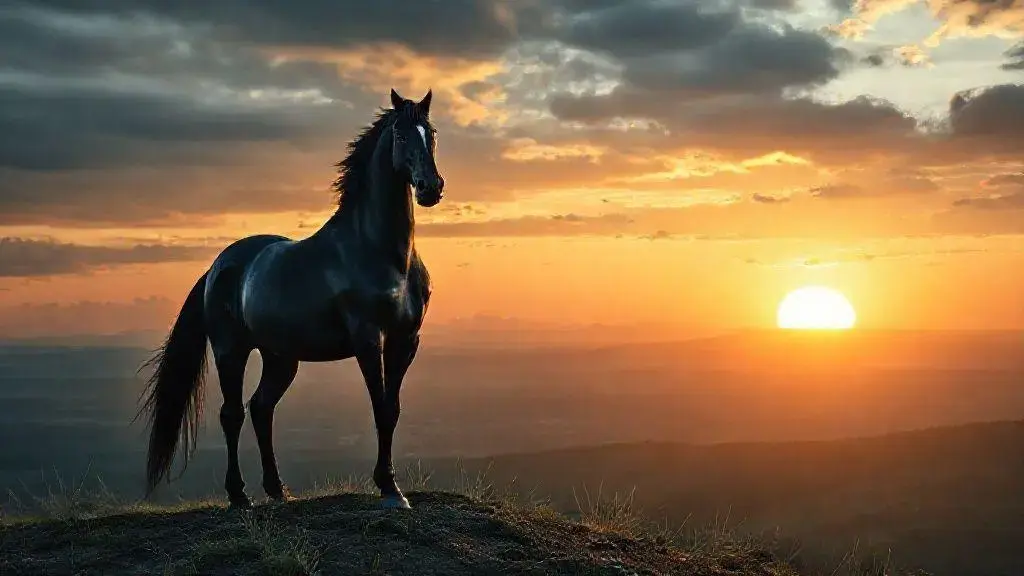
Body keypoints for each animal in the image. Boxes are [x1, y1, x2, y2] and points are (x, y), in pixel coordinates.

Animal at [136, 88, 445, 510]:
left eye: (432, 133)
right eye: (400, 134)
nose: (431, 188)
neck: (383, 253)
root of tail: (217, 267)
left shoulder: (406, 339)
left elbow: (392, 410)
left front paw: (394, 488)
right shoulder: (369, 339)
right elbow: (380, 407)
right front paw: (388, 489)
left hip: (281, 357)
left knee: (261, 408)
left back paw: (278, 490)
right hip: (230, 350)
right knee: (232, 414)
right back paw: (239, 495)